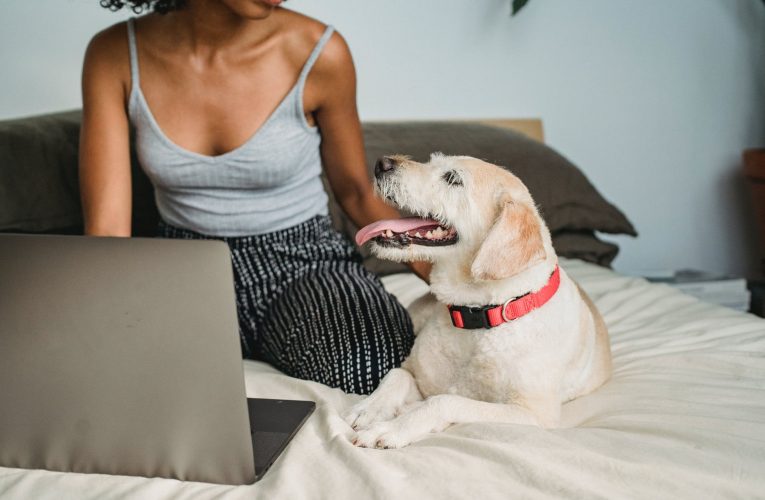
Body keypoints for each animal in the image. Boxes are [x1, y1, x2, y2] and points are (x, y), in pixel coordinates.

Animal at [344, 153, 612, 450]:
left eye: (452, 178)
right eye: (432, 161)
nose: (382, 164)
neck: (479, 316)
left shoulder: (533, 414)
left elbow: (444, 401)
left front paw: (392, 427)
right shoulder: (417, 376)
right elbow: (397, 374)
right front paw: (370, 407)